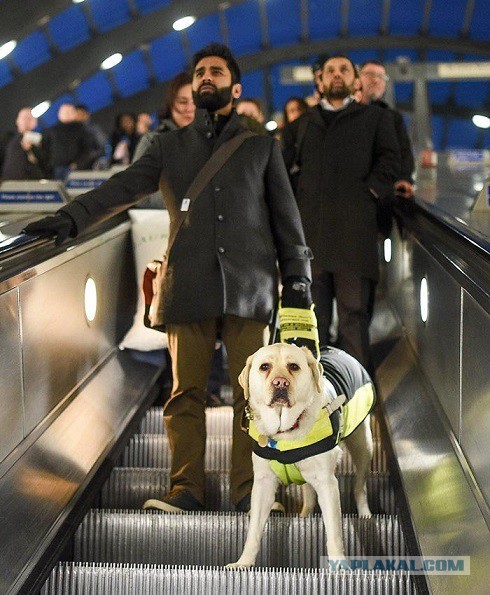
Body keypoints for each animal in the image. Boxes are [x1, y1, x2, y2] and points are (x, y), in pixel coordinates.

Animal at [228, 340, 374, 568]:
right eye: (264, 367)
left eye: (294, 367)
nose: (280, 383)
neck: (285, 432)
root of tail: (337, 349)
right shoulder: (263, 483)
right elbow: (253, 531)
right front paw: (244, 563)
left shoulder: (327, 482)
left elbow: (334, 532)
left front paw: (339, 566)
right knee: (309, 493)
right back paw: (305, 514)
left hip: (363, 444)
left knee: (360, 486)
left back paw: (365, 514)